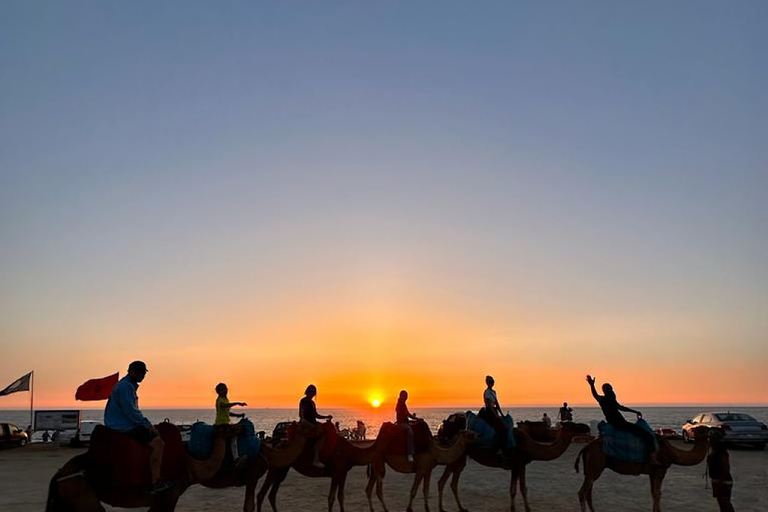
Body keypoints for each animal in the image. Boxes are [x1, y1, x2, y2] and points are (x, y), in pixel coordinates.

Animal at [45, 420, 237, 512]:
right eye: (228, 428)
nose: (240, 427)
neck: (190, 465)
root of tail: (59, 475)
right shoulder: (169, 496)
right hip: (80, 493)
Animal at [258, 420, 390, 512]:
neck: (351, 452)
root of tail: (277, 445)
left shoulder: (342, 474)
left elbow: (339, 497)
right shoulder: (337, 473)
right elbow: (332, 498)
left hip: (282, 470)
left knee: (272, 494)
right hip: (276, 469)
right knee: (262, 494)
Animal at [436, 412, 592, 512]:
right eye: (572, 425)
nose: (587, 427)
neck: (530, 447)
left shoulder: (521, 466)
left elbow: (522, 488)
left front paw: (526, 508)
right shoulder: (516, 464)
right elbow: (513, 490)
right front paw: (516, 509)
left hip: (460, 459)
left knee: (453, 482)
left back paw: (461, 508)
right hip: (456, 458)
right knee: (442, 481)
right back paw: (442, 509)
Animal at [572, 424, 712, 512]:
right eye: (703, 429)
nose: (713, 430)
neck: (673, 453)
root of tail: (587, 446)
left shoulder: (652, 472)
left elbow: (653, 493)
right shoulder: (661, 469)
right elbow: (658, 494)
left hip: (594, 469)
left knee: (588, 492)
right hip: (595, 465)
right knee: (582, 492)